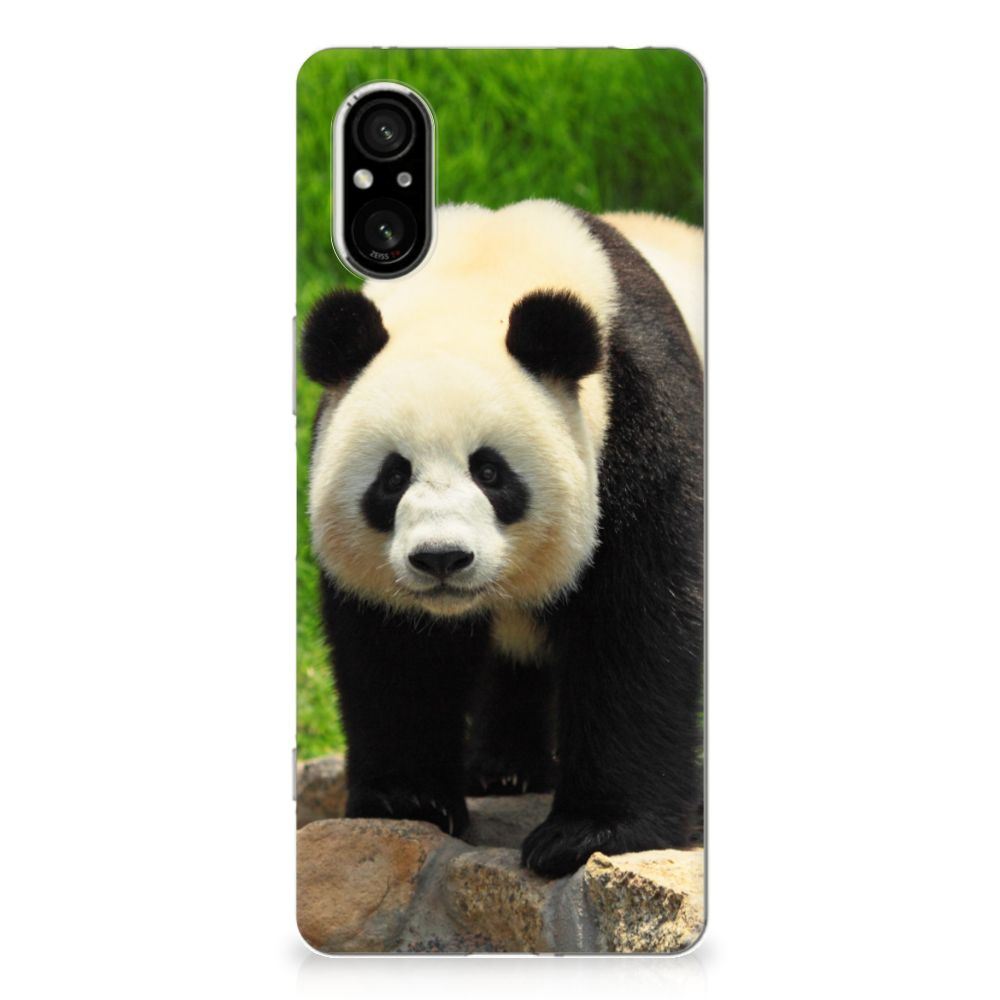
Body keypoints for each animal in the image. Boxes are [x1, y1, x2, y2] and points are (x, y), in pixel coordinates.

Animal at [302, 200, 703, 877]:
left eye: (490, 472)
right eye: (393, 476)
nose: (441, 558)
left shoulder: (641, 419)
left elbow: (639, 623)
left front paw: (589, 832)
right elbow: (395, 649)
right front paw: (408, 800)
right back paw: (504, 769)